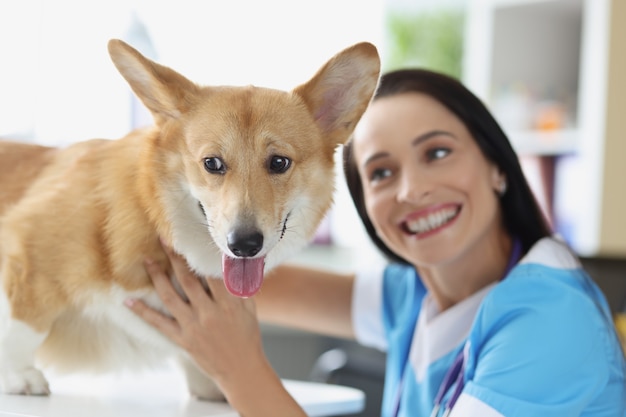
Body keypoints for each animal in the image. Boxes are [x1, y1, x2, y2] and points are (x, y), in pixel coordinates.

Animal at [0, 39, 378, 400]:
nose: (244, 245)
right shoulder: (27, 254)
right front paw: (19, 374)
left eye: (279, 162)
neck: (153, 216)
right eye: (212, 163)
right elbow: (25, 324)